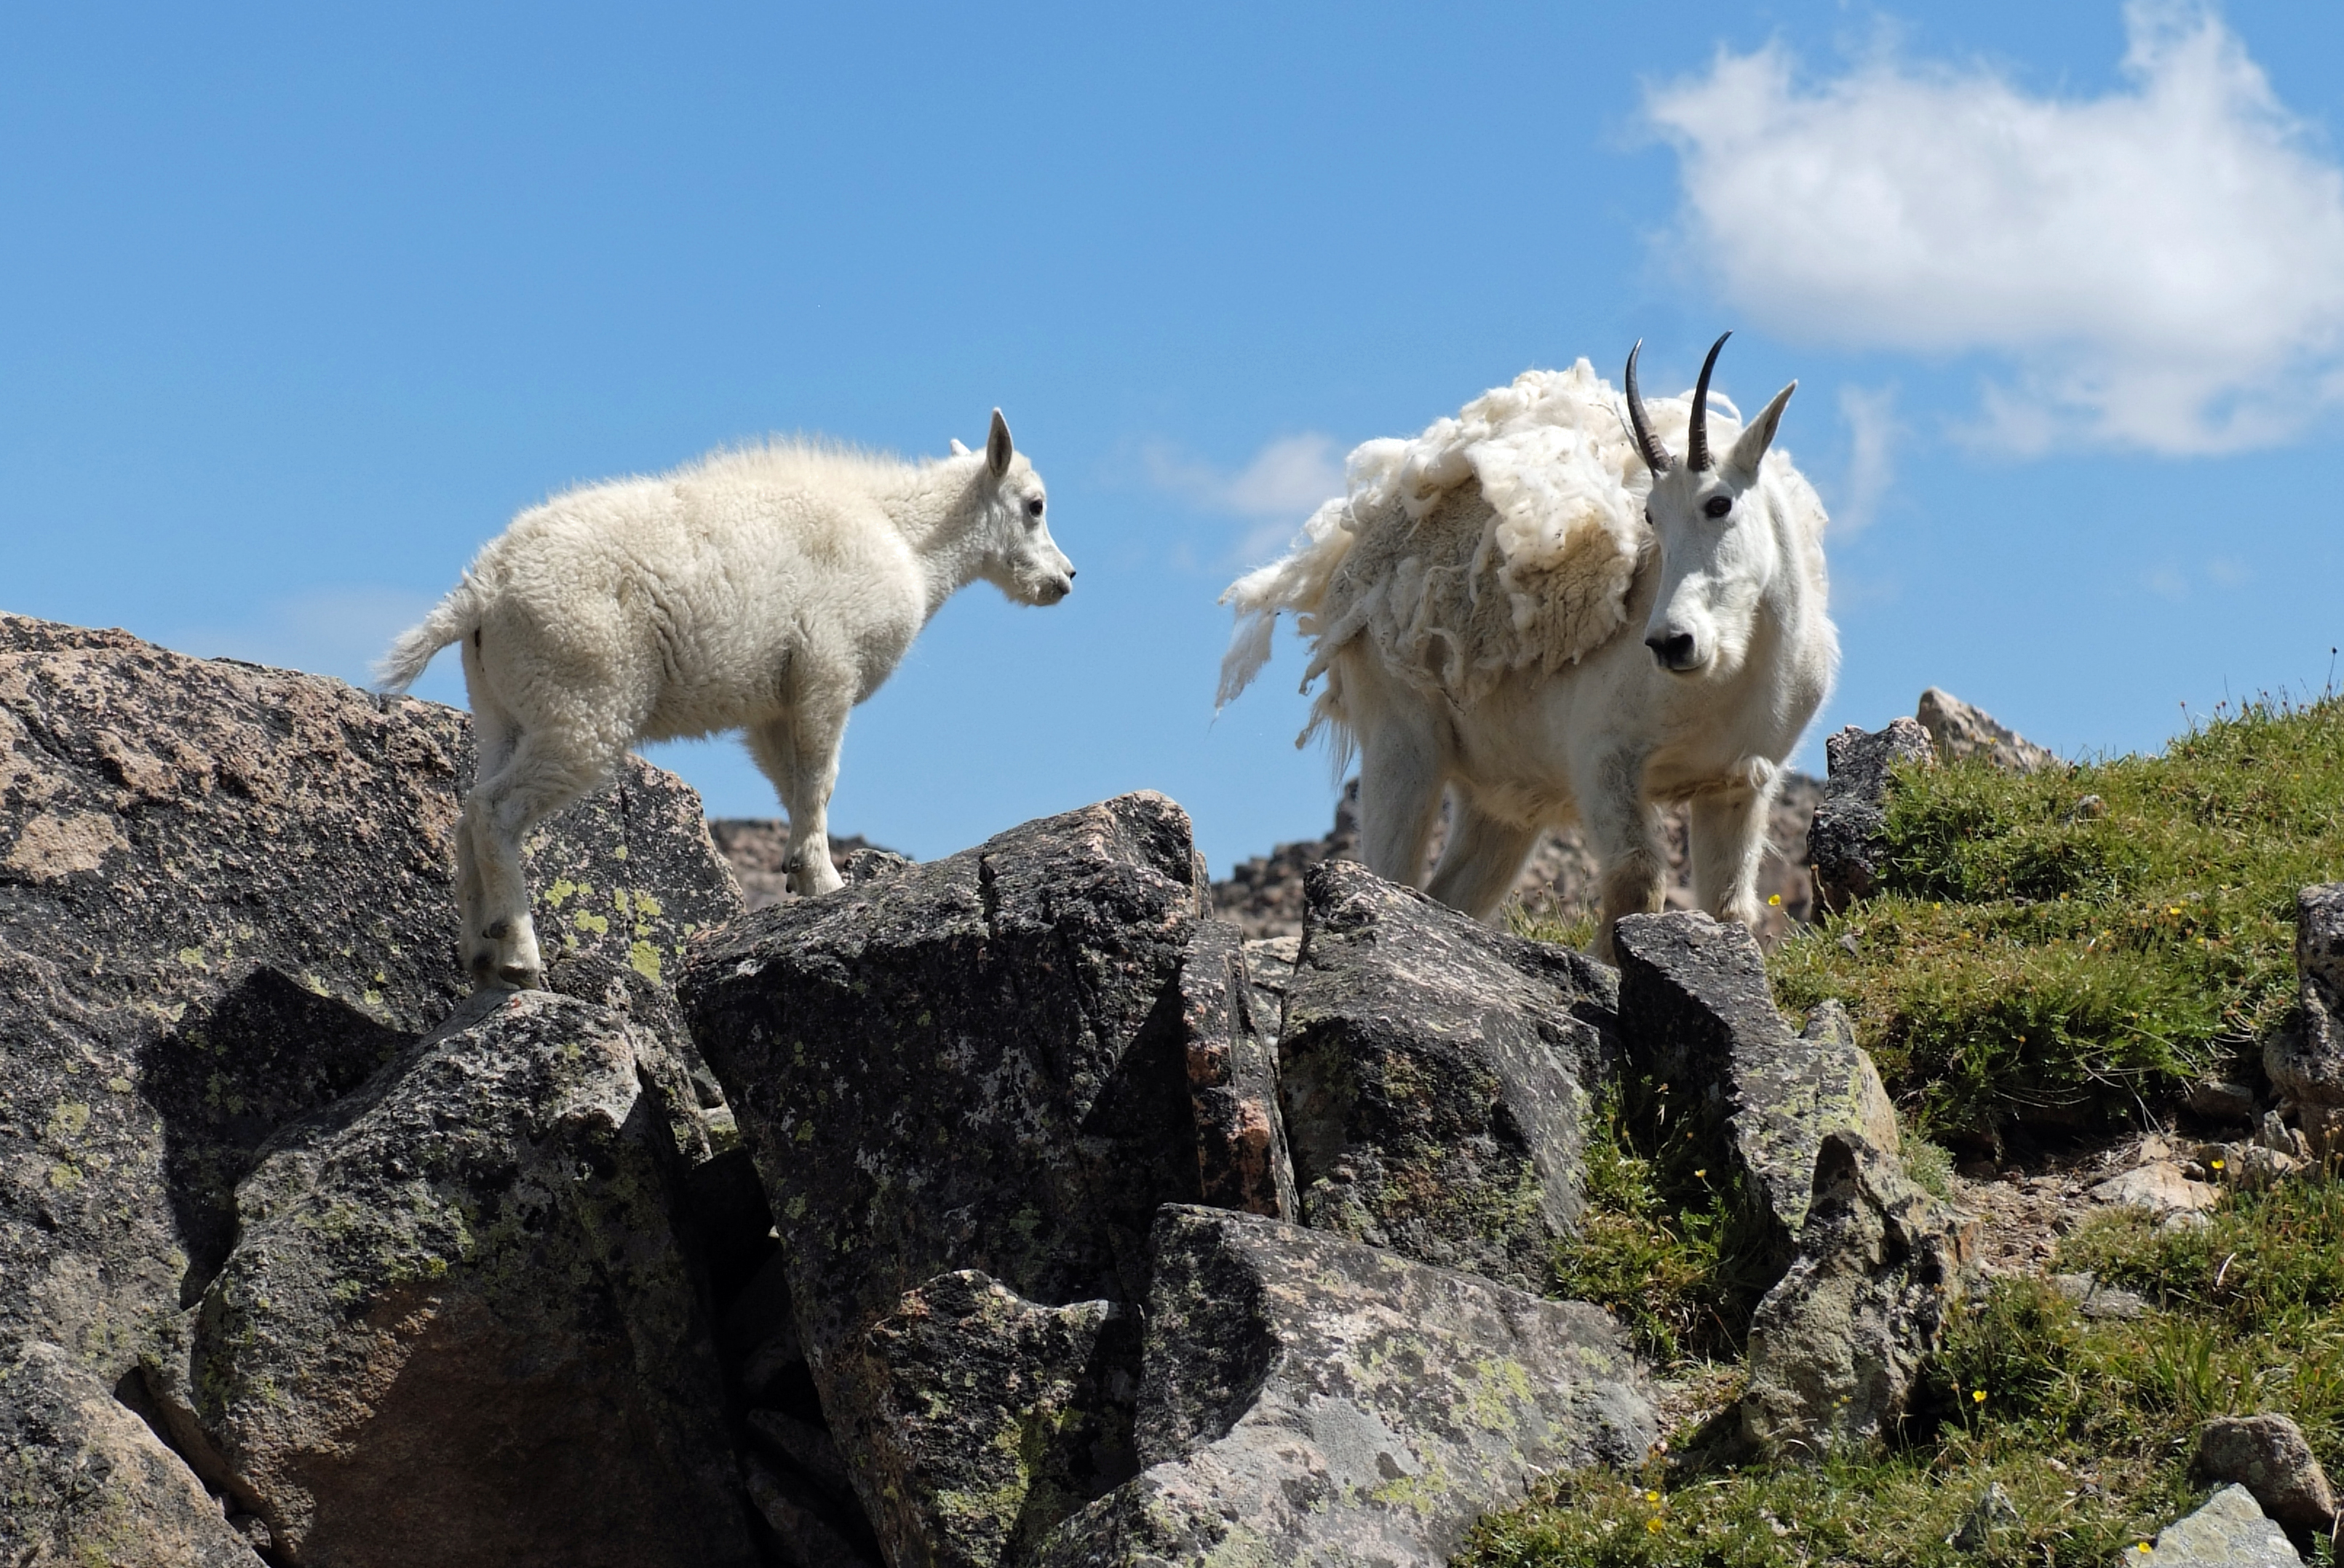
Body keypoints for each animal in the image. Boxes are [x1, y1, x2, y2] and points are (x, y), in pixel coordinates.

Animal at [377, 411, 1074, 988]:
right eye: (1035, 505)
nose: (1065, 578)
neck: (907, 538)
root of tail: (482, 590)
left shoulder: (774, 700)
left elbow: (791, 784)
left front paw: (799, 874)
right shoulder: (827, 669)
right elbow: (818, 780)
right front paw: (827, 881)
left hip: (503, 708)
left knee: (468, 809)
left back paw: (479, 953)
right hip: (582, 707)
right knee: (495, 810)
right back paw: (520, 953)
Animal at [1219, 337, 1837, 959]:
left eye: (1718, 503)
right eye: (1649, 515)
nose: (1671, 641)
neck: (1726, 680)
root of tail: (1340, 570)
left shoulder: (1737, 783)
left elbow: (1729, 908)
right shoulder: (1603, 760)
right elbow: (1636, 882)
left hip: (1500, 798)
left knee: (1448, 895)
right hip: (1401, 738)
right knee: (1390, 875)